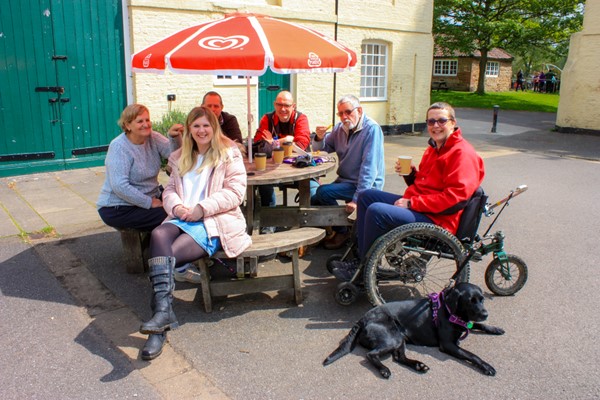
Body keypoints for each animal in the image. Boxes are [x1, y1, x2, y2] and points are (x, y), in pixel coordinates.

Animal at [324, 282, 502, 378]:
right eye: (470, 301)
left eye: (482, 299)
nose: (485, 314)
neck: (450, 310)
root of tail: (362, 319)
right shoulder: (448, 345)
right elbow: (472, 355)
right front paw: (487, 366)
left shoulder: (468, 324)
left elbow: (477, 325)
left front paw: (495, 328)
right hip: (392, 338)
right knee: (370, 355)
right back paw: (384, 370)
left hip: (400, 338)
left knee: (399, 357)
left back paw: (418, 365)